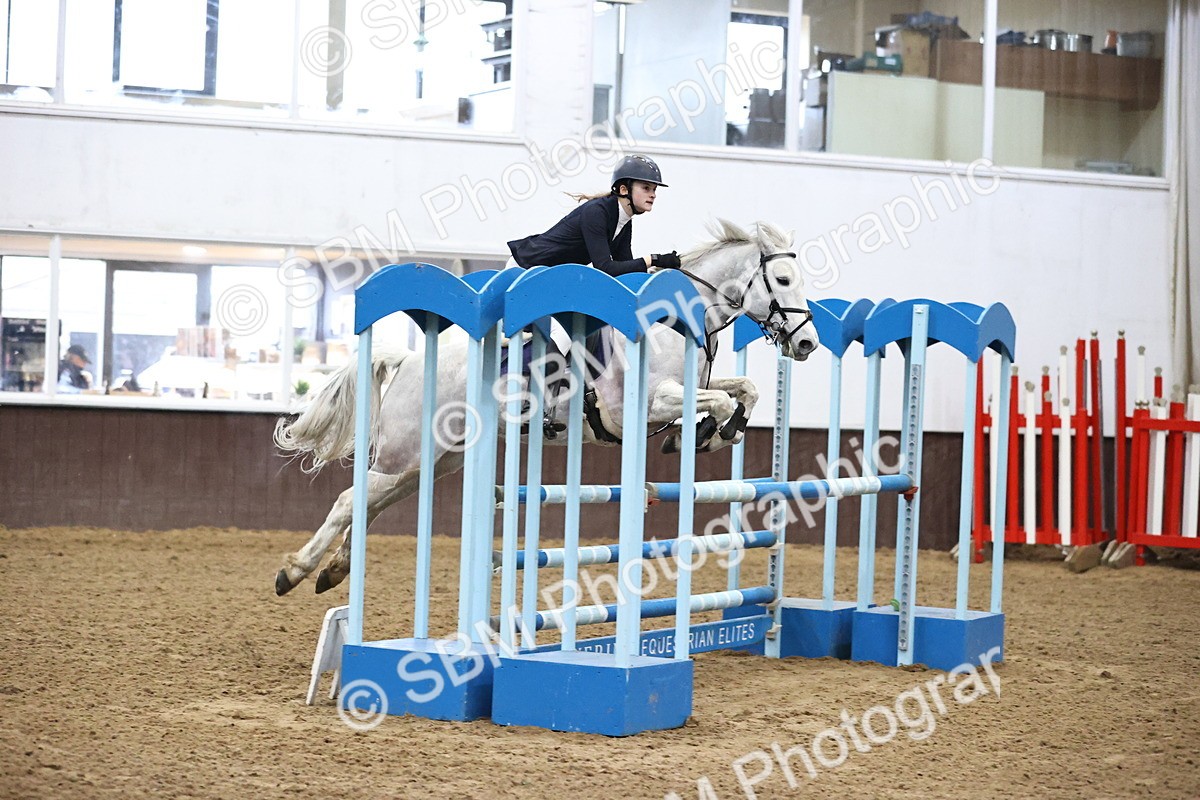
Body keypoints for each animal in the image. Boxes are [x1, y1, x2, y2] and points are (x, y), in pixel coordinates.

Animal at [271, 219, 820, 596]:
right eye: (783, 280)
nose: (808, 344)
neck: (678, 320)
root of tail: (408, 359)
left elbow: (743, 388)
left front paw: (714, 432)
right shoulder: (644, 403)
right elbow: (721, 398)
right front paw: (701, 433)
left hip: (435, 459)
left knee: (371, 501)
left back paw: (332, 570)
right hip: (406, 449)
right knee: (350, 499)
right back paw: (294, 571)